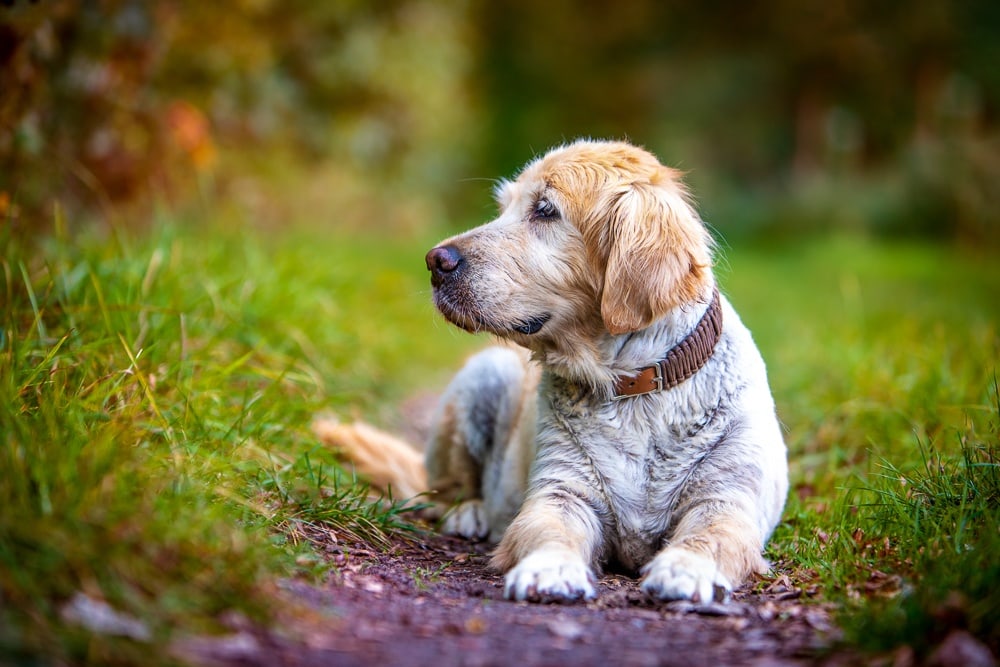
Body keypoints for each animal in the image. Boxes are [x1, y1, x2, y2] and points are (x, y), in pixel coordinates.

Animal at [314, 140, 788, 604]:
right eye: (503, 207)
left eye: (545, 209)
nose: (435, 261)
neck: (632, 388)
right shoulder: (559, 491)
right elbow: (549, 531)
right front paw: (551, 570)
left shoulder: (727, 498)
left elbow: (711, 535)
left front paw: (685, 570)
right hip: (486, 374)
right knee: (445, 488)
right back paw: (469, 513)